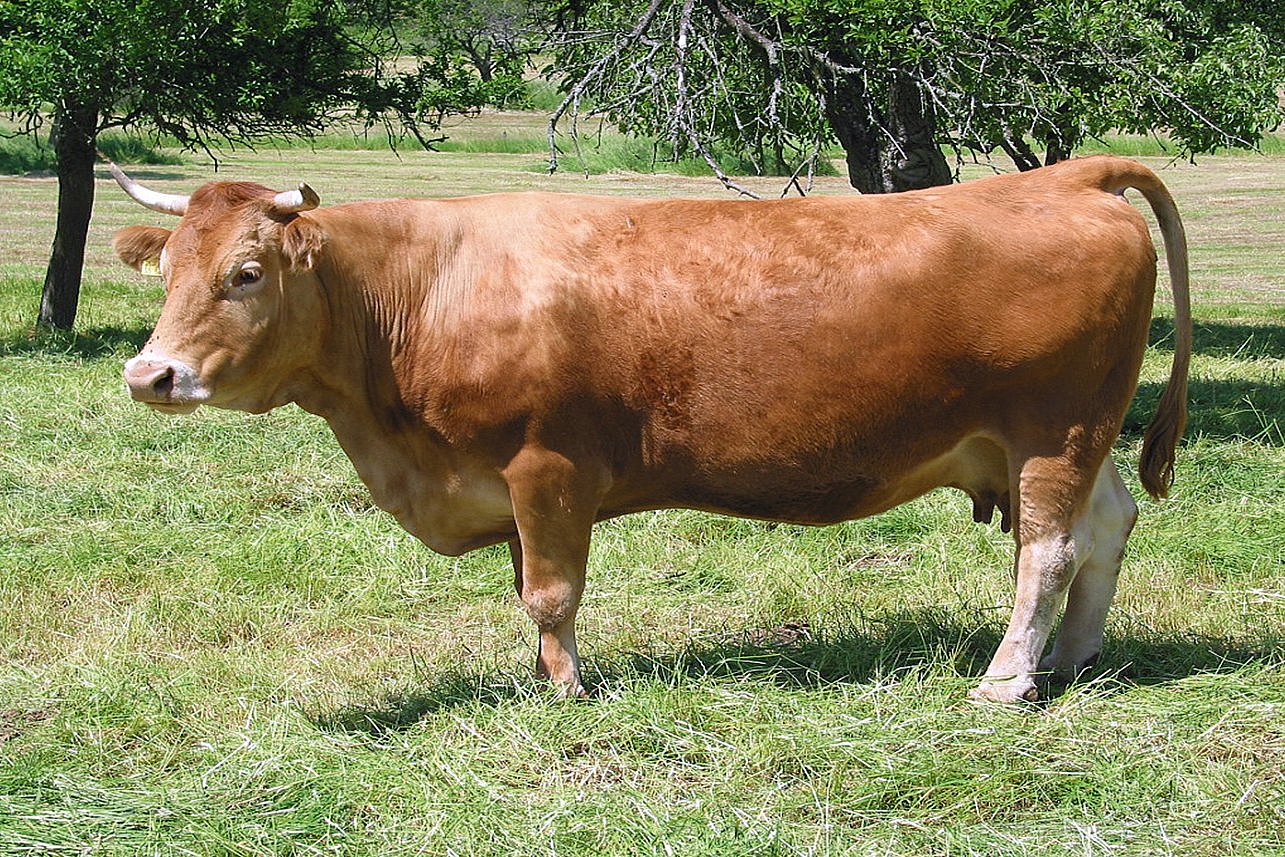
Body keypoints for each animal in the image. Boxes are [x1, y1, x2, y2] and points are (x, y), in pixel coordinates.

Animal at [113, 156, 1192, 704]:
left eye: (246, 272)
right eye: (165, 269)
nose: (149, 373)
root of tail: (1068, 175)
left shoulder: (547, 467)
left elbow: (549, 593)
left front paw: (566, 692)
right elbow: (528, 592)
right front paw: (541, 677)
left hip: (1051, 429)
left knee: (1045, 551)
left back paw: (1007, 679)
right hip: (1068, 437)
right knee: (1105, 525)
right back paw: (1069, 658)